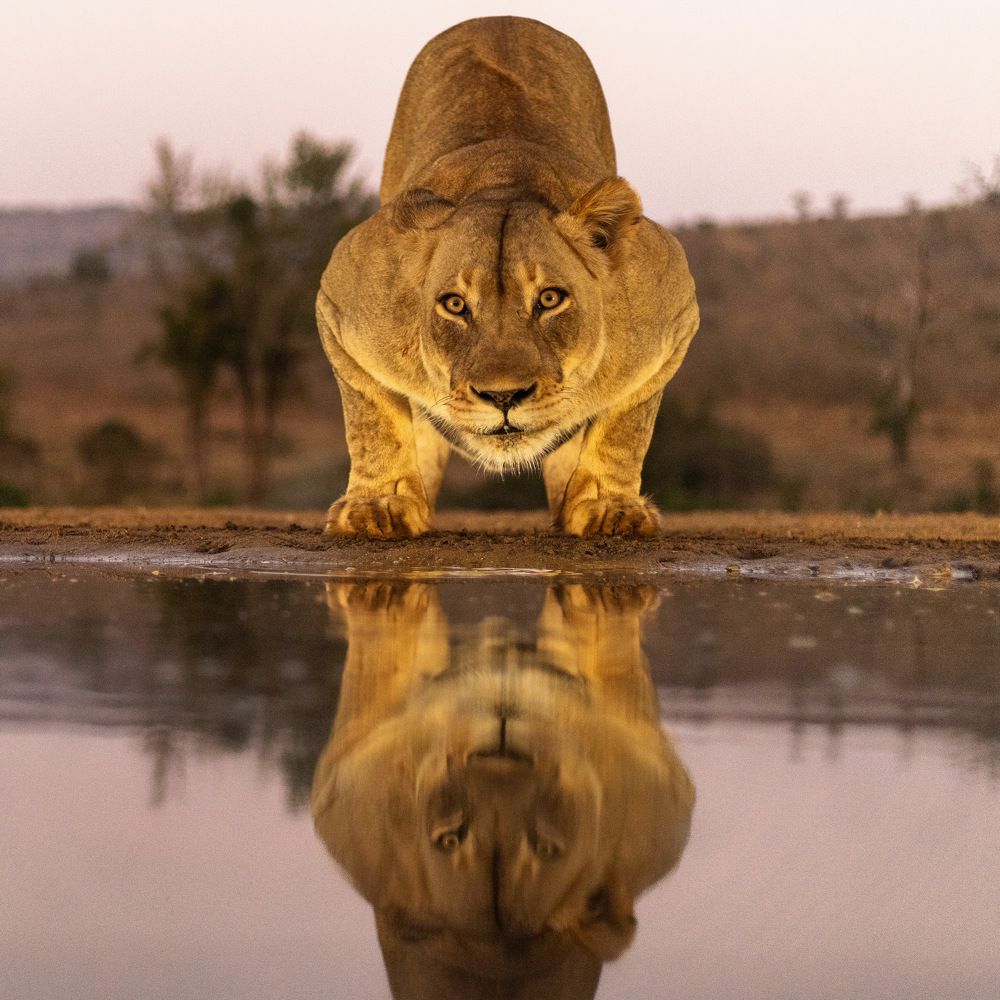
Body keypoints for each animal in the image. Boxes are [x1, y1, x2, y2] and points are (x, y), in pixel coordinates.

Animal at [311, 581, 695, 1000]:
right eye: (451, 837)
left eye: (544, 846)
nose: (499, 746)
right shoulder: (349, 774)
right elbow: (380, 657)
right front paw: (380, 596)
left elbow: (614, 664)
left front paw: (605, 601)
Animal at [317, 16, 699, 538]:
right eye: (455, 304)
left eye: (550, 299)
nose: (504, 396)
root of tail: (499, 18)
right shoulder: (343, 306)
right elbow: (373, 419)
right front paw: (379, 505)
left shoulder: (671, 316)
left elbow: (626, 425)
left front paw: (609, 507)